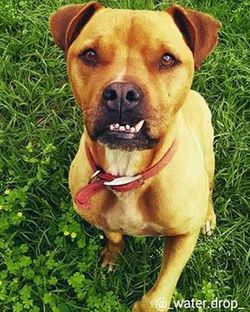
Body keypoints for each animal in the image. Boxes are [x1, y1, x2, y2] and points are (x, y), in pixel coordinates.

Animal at [49, 3, 221, 312]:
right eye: (90, 54)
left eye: (167, 59)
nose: (121, 93)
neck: (126, 172)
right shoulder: (102, 220)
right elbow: (114, 234)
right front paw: (112, 255)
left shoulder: (183, 236)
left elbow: (158, 294)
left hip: (208, 153)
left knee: (210, 188)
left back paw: (208, 215)